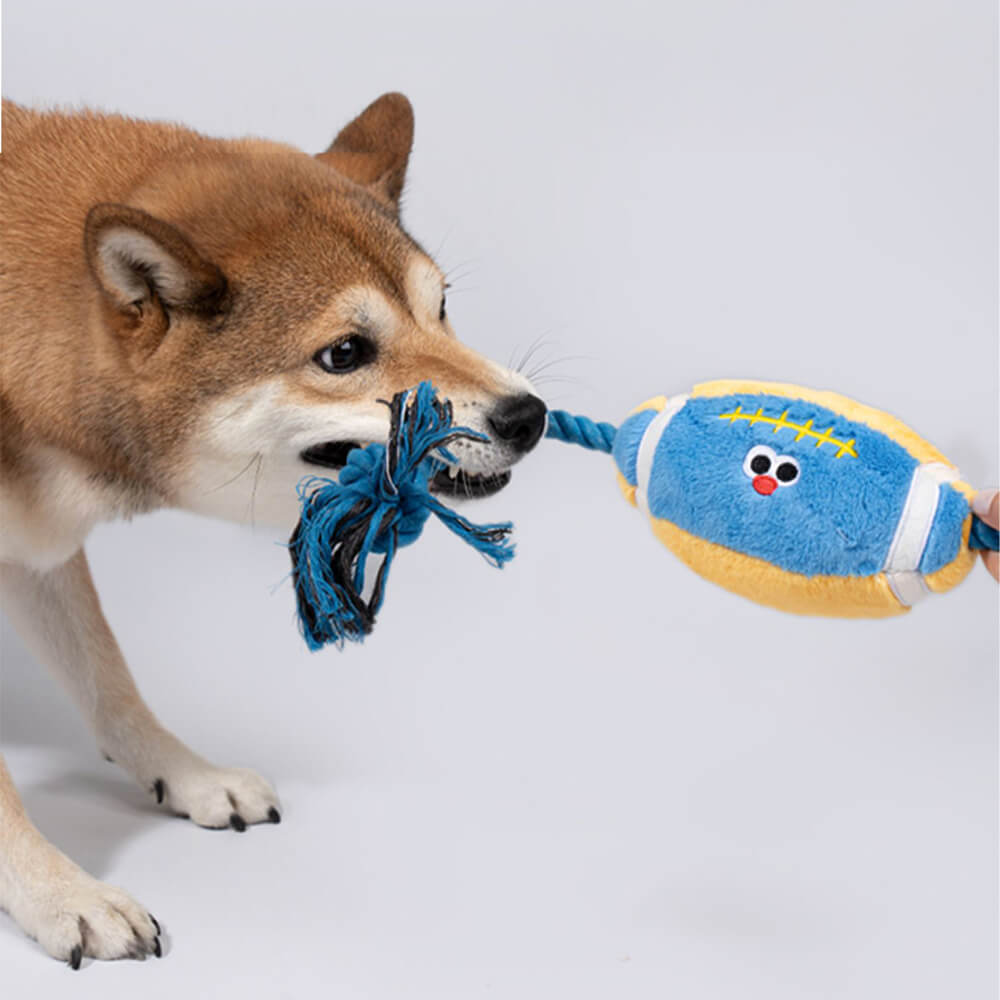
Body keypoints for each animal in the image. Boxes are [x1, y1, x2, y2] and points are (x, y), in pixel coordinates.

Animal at [0, 95, 548, 968]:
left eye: (441, 308)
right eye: (346, 353)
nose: (528, 417)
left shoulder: (34, 543)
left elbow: (110, 680)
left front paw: (187, 776)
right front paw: (62, 895)